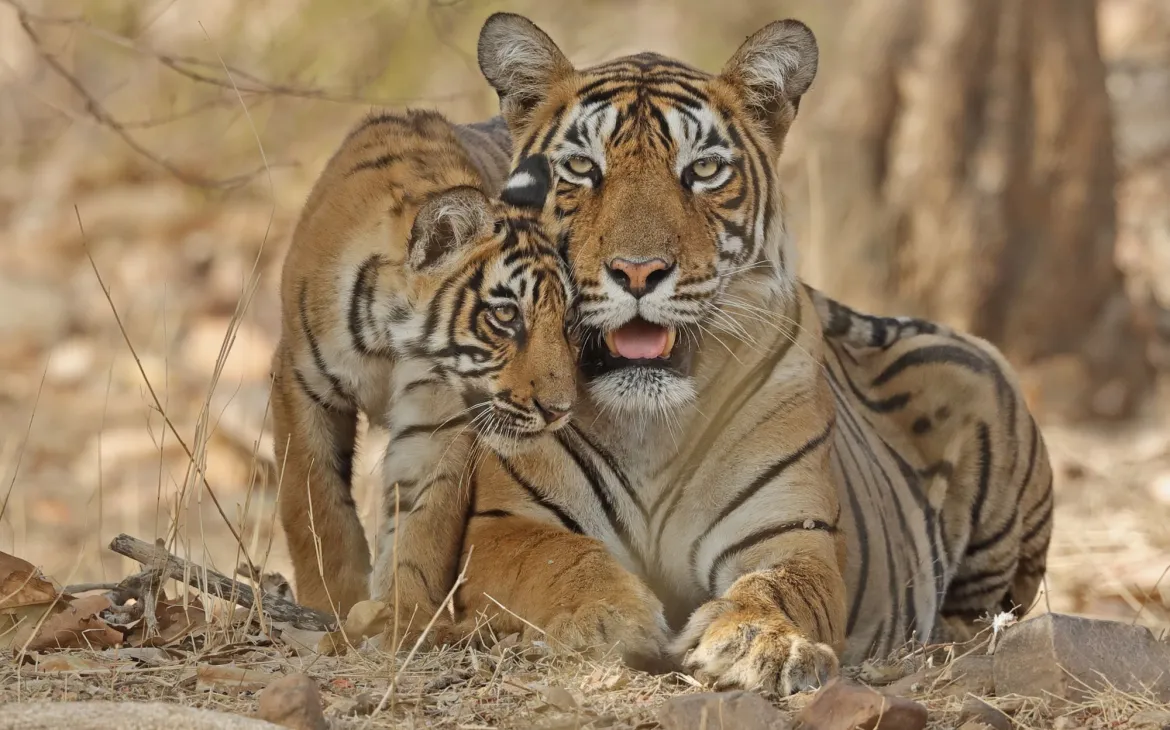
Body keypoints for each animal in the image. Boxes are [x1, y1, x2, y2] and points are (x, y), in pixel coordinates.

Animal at [268, 107, 580, 629]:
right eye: (506, 315)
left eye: (568, 321)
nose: (559, 411)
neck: (389, 342)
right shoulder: (300, 383)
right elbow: (313, 504)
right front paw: (330, 603)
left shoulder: (439, 418)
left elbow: (423, 520)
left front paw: (403, 617)